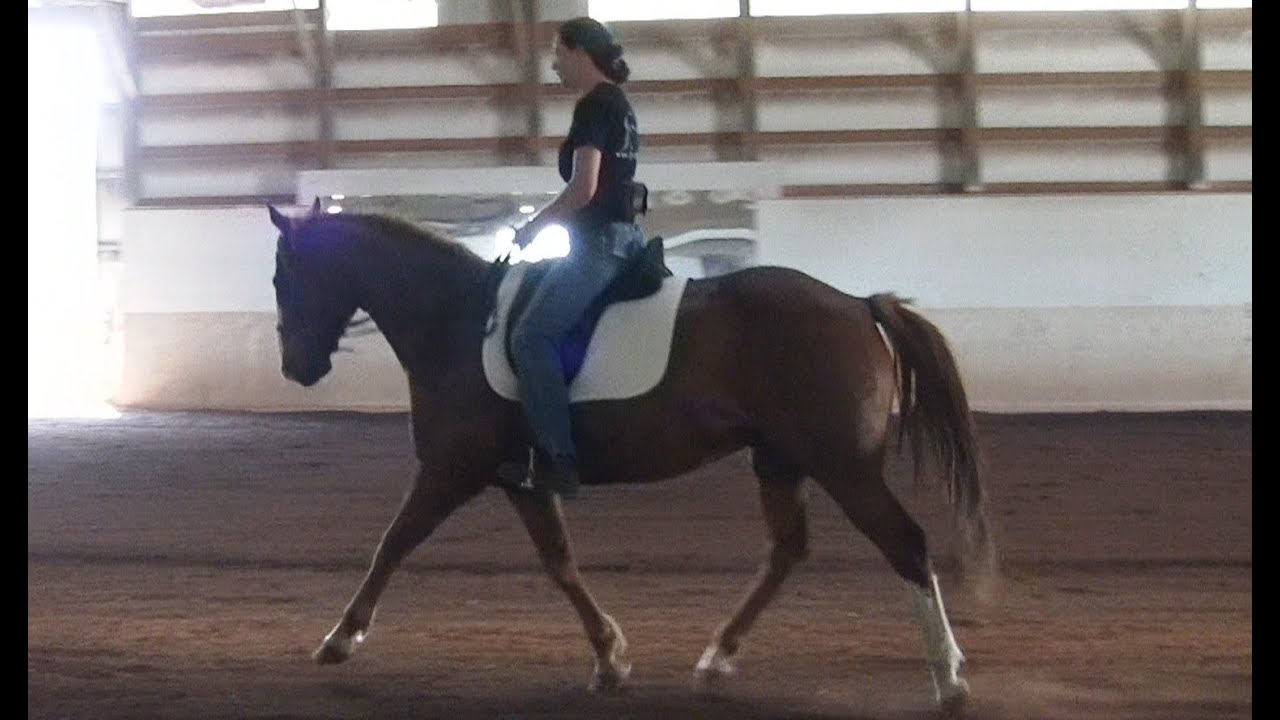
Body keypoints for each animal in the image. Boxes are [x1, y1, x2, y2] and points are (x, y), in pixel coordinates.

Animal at [266, 200, 998, 712]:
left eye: (283, 277)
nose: (297, 368)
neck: (455, 319)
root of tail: (856, 303)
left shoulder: (452, 470)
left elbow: (392, 544)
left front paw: (340, 639)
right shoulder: (521, 479)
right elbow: (559, 562)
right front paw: (610, 658)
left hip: (843, 466)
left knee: (905, 543)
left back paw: (949, 680)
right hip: (780, 460)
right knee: (789, 550)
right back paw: (717, 656)